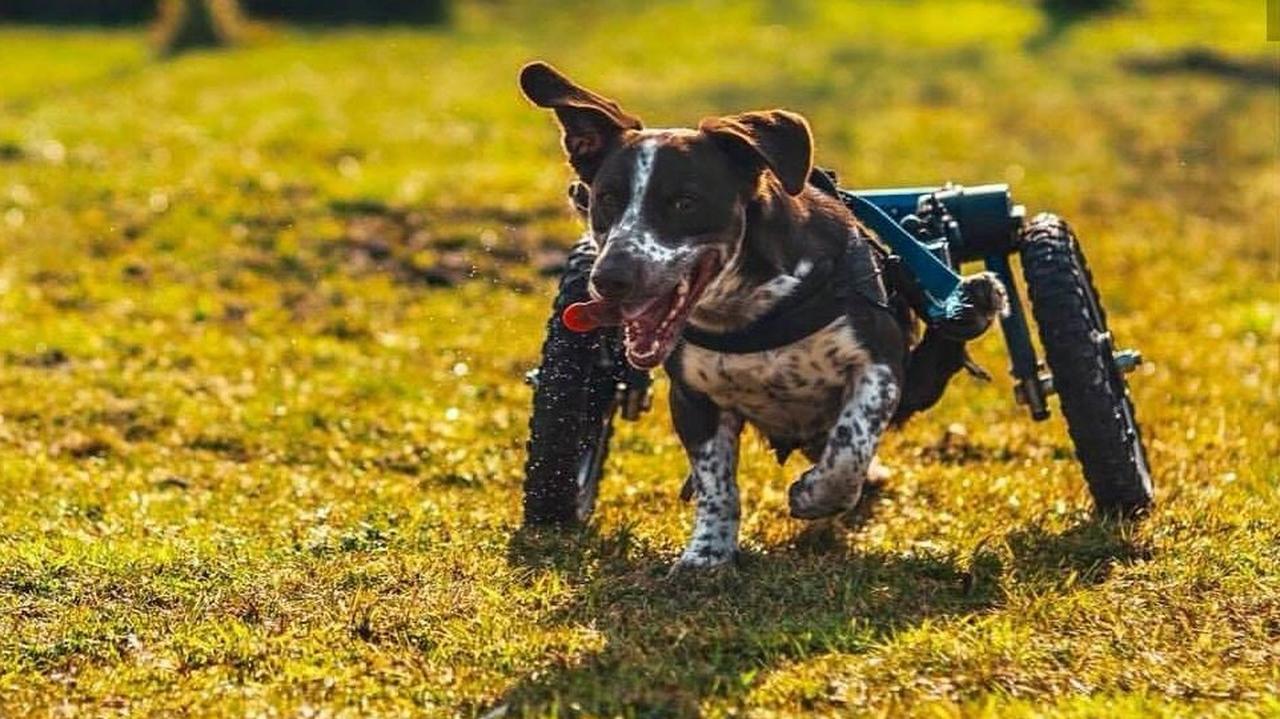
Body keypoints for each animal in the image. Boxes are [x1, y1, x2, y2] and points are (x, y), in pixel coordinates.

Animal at [519, 60, 998, 565]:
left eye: (685, 202)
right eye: (606, 198)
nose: (609, 279)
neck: (750, 312)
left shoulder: (879, 366)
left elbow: (849, 448)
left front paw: (815, 495)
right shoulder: (692, 397)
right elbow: (715, 482)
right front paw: (707, 554)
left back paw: (977, 301)